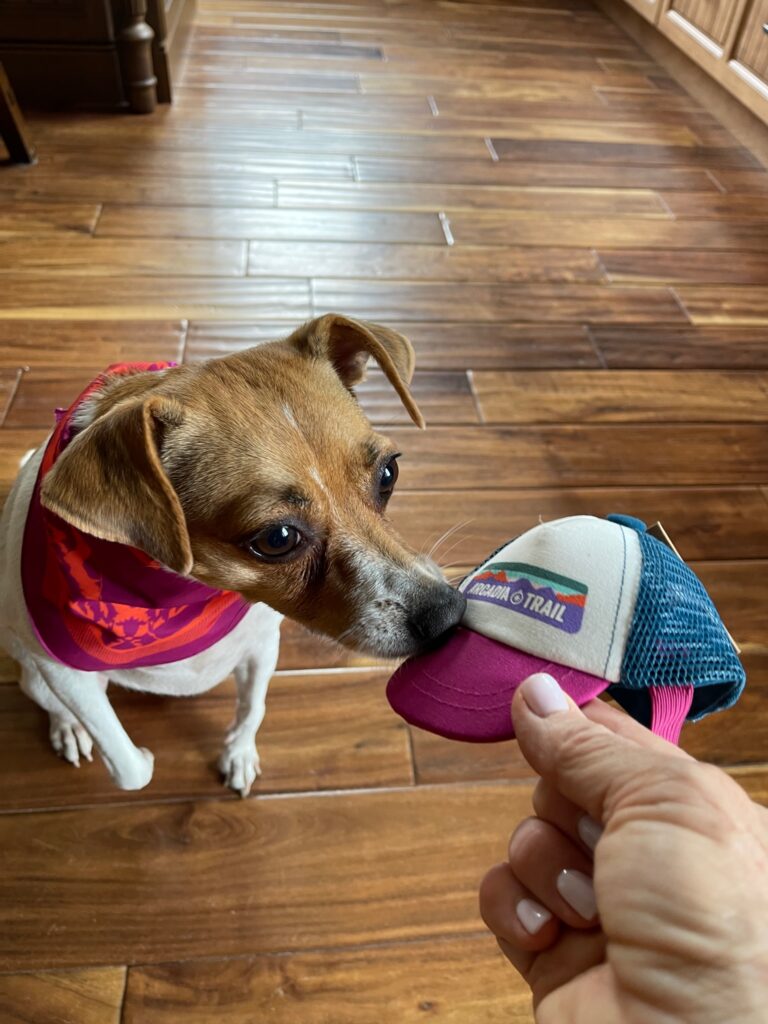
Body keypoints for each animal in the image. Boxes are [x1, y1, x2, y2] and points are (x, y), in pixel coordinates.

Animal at [0, 315, 466, 794]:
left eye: (389, 473)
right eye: (278, 538)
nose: (448, 614)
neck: (183, 593)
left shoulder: (262, 645)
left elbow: (252, 708)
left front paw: (239, 754)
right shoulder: (66, 675)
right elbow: (130, 767)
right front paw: (133, 753)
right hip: (34, 671)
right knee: (50, 700)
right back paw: (68, 728)